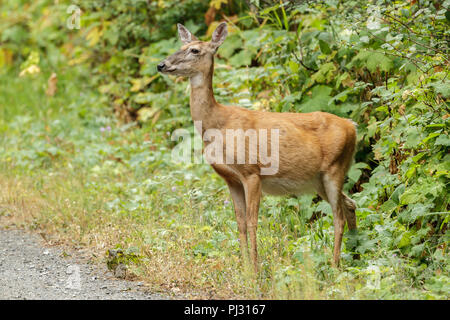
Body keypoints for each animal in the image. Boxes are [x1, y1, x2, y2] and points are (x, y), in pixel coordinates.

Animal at [158, 22, 358, 272]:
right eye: (181, 46)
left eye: (195, 50)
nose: (161, 65)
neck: (217, 125)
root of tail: (352, 127)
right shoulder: (231, 179)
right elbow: (240, 222)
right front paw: (243, 267)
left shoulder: (252, 171)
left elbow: (253, 221)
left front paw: (255, 269)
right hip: (318, 179)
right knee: (351, 205)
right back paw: (355, 255)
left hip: (334, 168)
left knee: (338, 216)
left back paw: (334, 265)